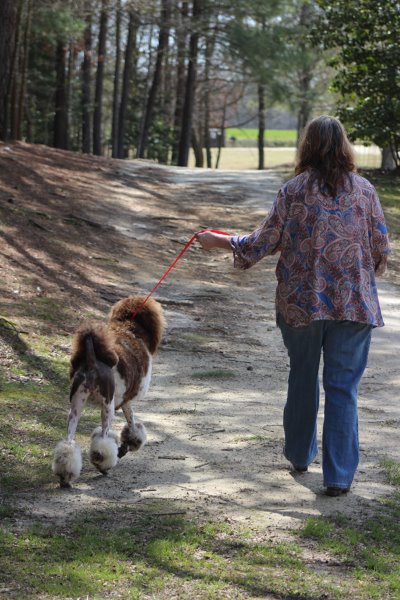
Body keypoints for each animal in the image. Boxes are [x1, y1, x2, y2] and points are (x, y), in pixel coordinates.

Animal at [52, 296, 165, 488]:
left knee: (68, 443)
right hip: (107, 406)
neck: (129, 328)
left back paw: (65, 475)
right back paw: (103, 466)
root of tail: (91, 361)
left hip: (76, 406)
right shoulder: (126, 400)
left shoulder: (120, 401)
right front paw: (130, 443)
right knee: (103, 440)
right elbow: (132, 422)